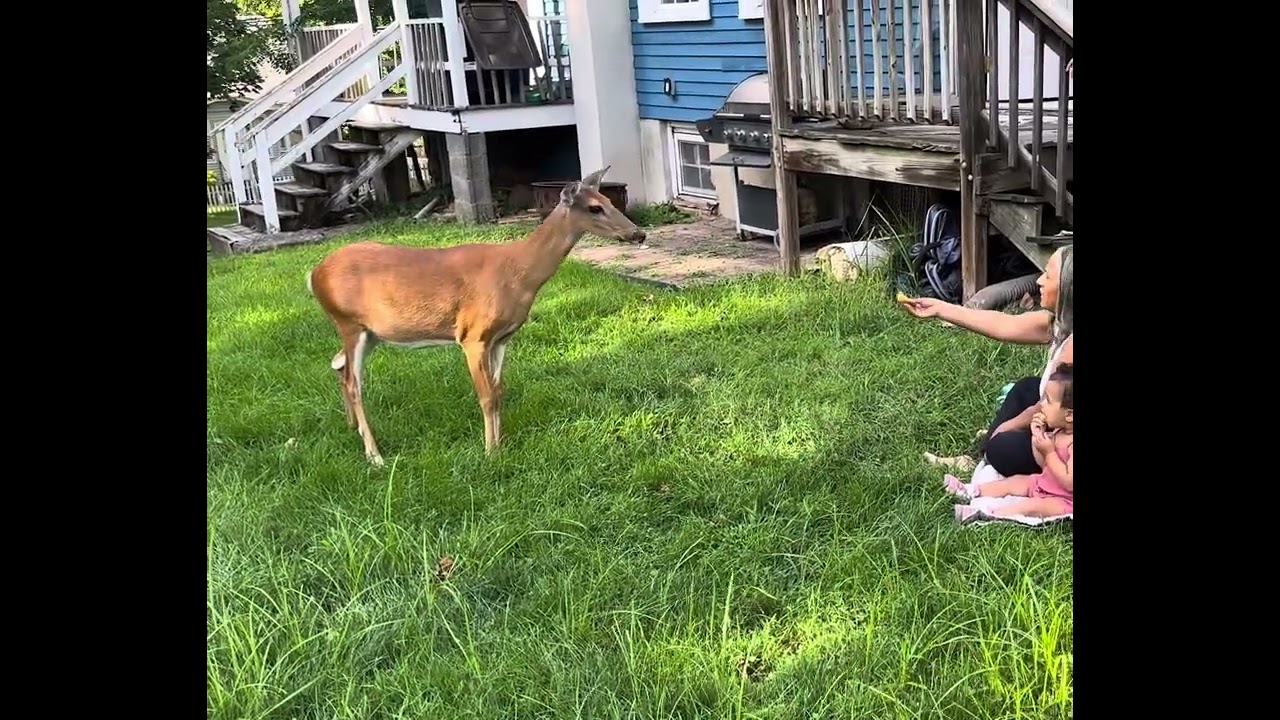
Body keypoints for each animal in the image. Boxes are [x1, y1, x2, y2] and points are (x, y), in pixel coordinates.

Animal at [306, 166, 646, 466]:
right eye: (594, 208)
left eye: (610, 201)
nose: (639, 234)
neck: (519, 272)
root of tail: (314, 274)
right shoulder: (473, 335)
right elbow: (486, 396)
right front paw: (490, 452)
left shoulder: (502, 338)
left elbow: (499, 390)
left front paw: (502, 443)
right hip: (348, 322)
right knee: (354, 383)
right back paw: (374, 455)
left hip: (371, 331)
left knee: (338, 365)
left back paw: (352, 428)